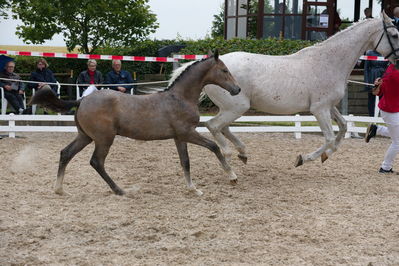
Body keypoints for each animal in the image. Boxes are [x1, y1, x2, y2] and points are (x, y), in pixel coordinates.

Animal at [205, 12, 399, 167]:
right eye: (394, 34)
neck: (329, 62)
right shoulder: (319, 109)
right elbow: (329, 138)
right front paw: (303, 159)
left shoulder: (328, 106)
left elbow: (343, 126)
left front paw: (326, 156)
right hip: (237, 107)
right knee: (213, 125)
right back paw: (228, 156)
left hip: (231, 108)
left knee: (222, 127)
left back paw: (242, 153)